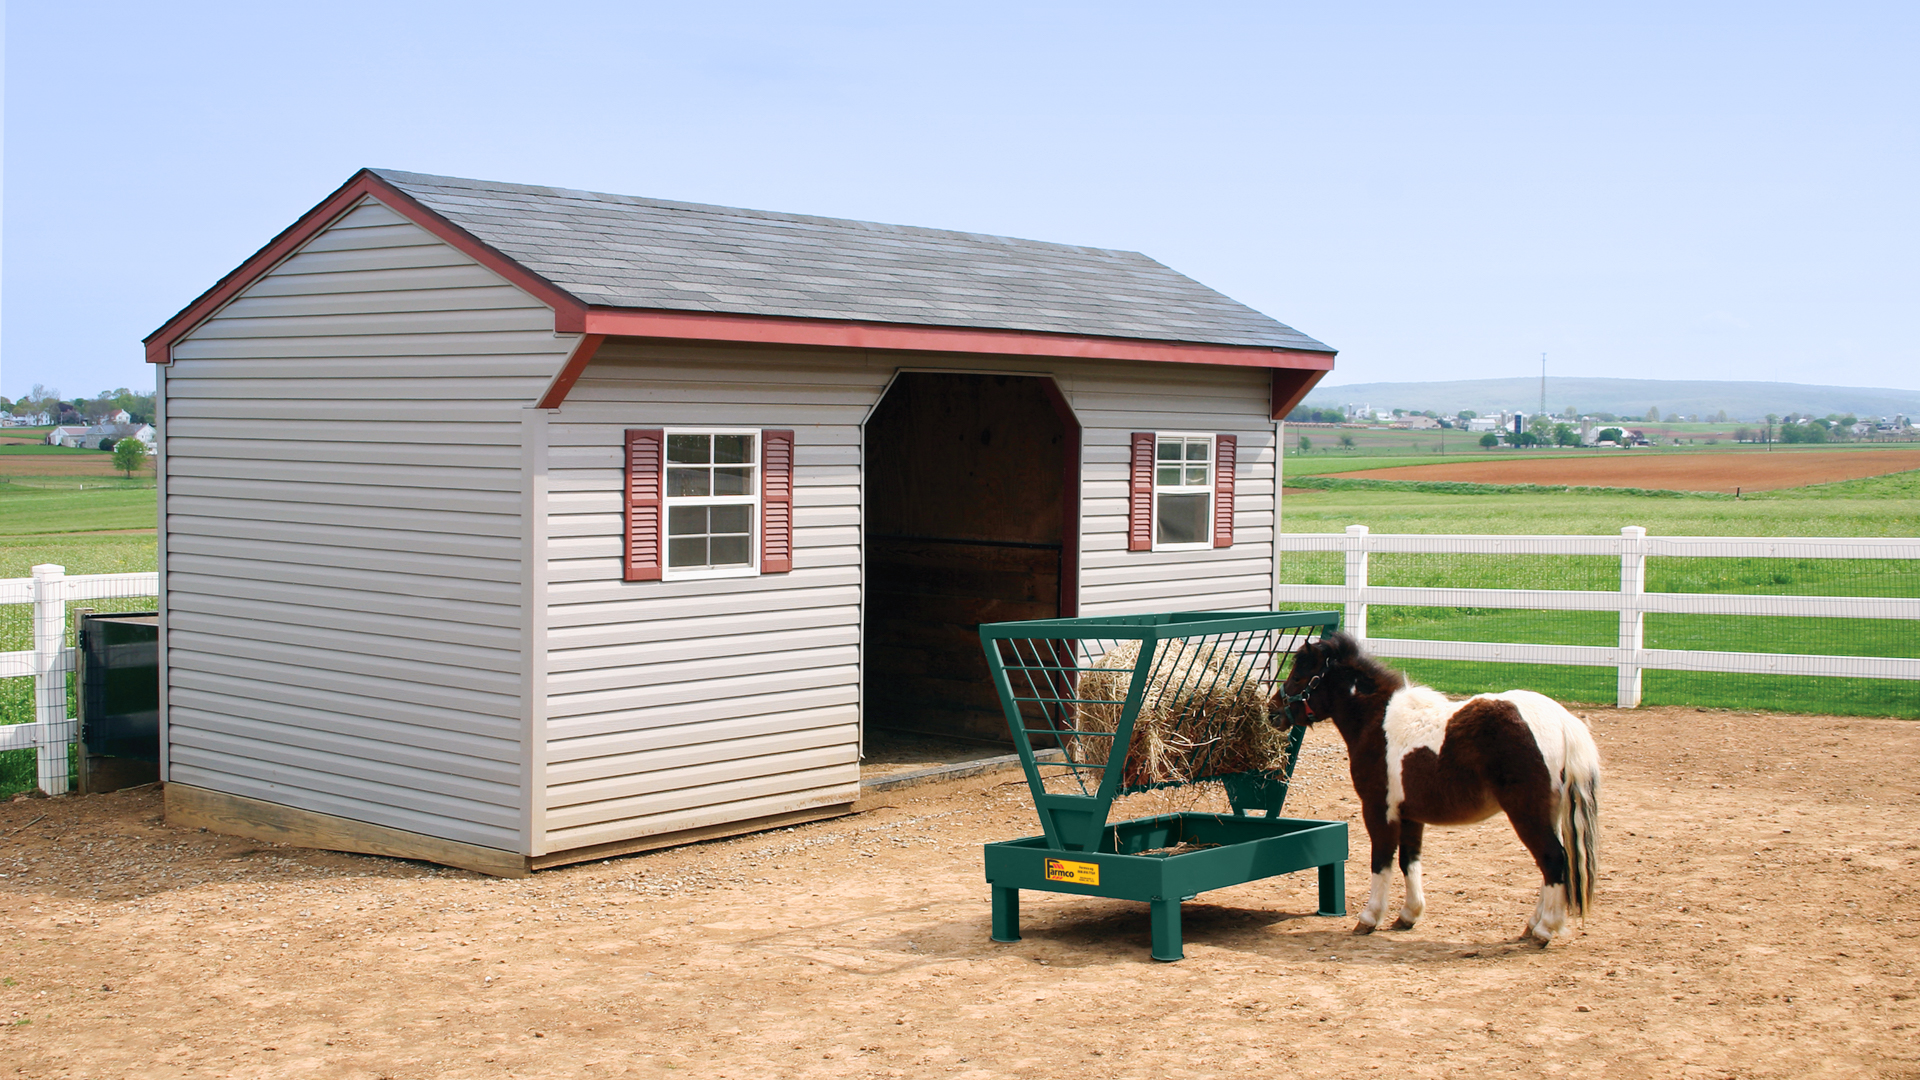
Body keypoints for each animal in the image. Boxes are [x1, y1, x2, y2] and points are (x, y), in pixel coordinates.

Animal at [1267, 630, 1597, 941]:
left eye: (1299, 676)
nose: (1272, 711)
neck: (1377, 720)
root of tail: (1563, 720)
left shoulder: (1378, 809)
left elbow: (1382, 860)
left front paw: (1370, 917)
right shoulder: (1411, 815)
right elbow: (1409, 861)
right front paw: (1409, 914)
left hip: (1526, 812)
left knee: (1553, 859)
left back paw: (1545, 930)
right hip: (1547, 813)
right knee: (1552, 863)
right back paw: (1533, 925)